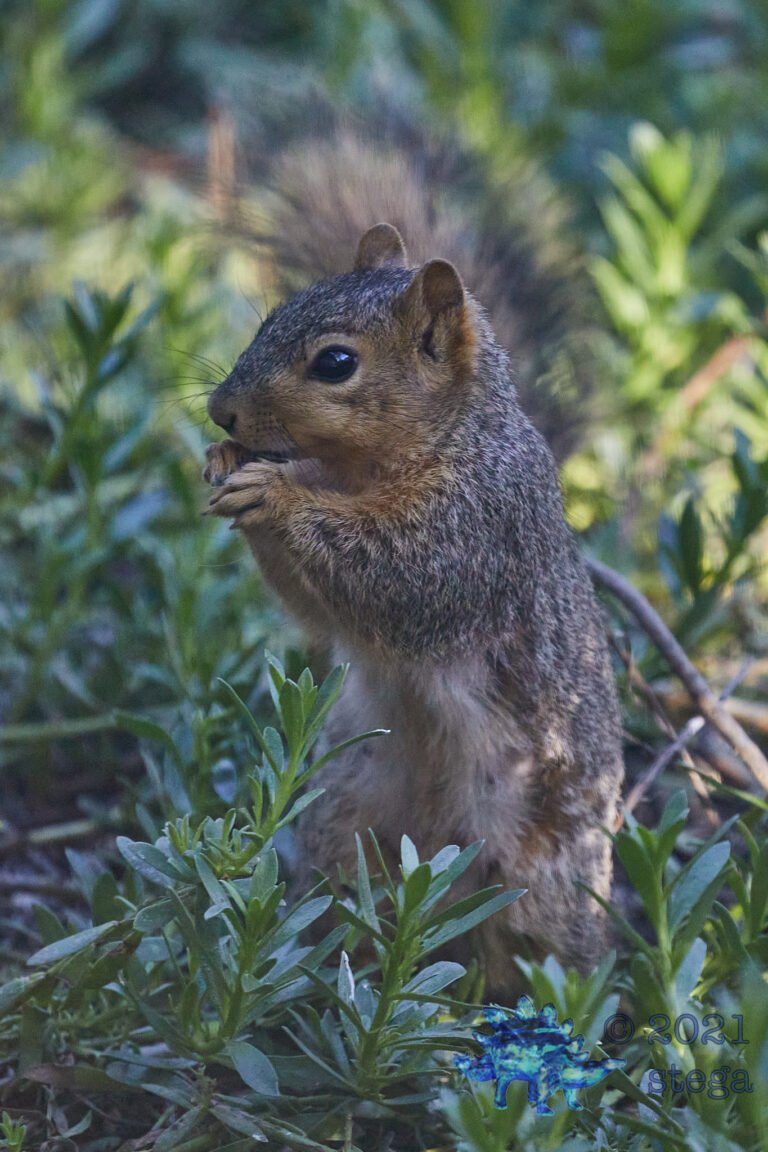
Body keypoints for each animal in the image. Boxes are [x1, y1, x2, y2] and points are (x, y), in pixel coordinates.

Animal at [203, 121, 624, 997]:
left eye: (335, 363)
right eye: (271, 316)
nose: (221, 409)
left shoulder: (475, 531)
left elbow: (397, 577)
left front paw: (276, 496)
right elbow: (319, 609)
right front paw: (225, 463)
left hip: (536, 870)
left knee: (540, 949)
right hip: (348, 812)